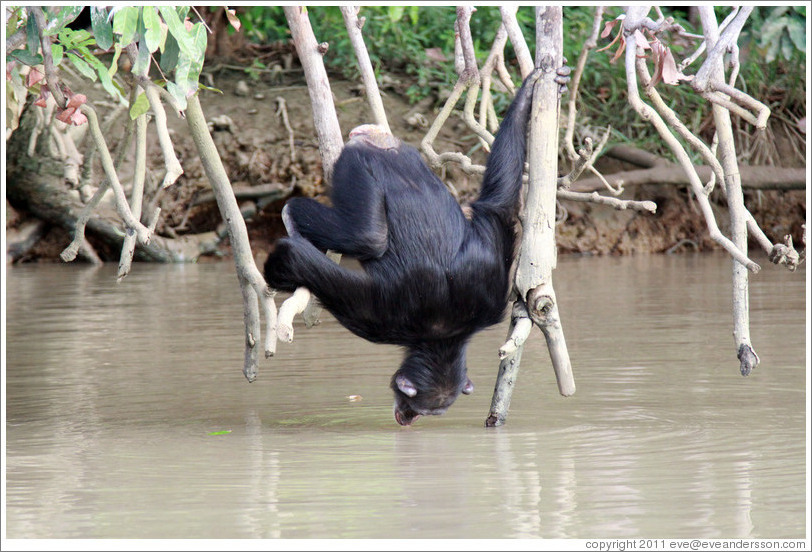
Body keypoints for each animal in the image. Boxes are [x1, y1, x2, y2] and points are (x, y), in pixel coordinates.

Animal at [266, 67, 564, 424]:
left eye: (427, 412)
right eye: (418, 407)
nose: (408, 419)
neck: (444, 336)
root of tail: (384, 146)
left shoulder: (491, 279)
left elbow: (497, 202)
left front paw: (527, 95)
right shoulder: (377, 316)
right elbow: (314, 270)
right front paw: (277, 267)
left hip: (394, 156)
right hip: (353, 165)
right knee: (368, 236)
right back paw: (292, 213)